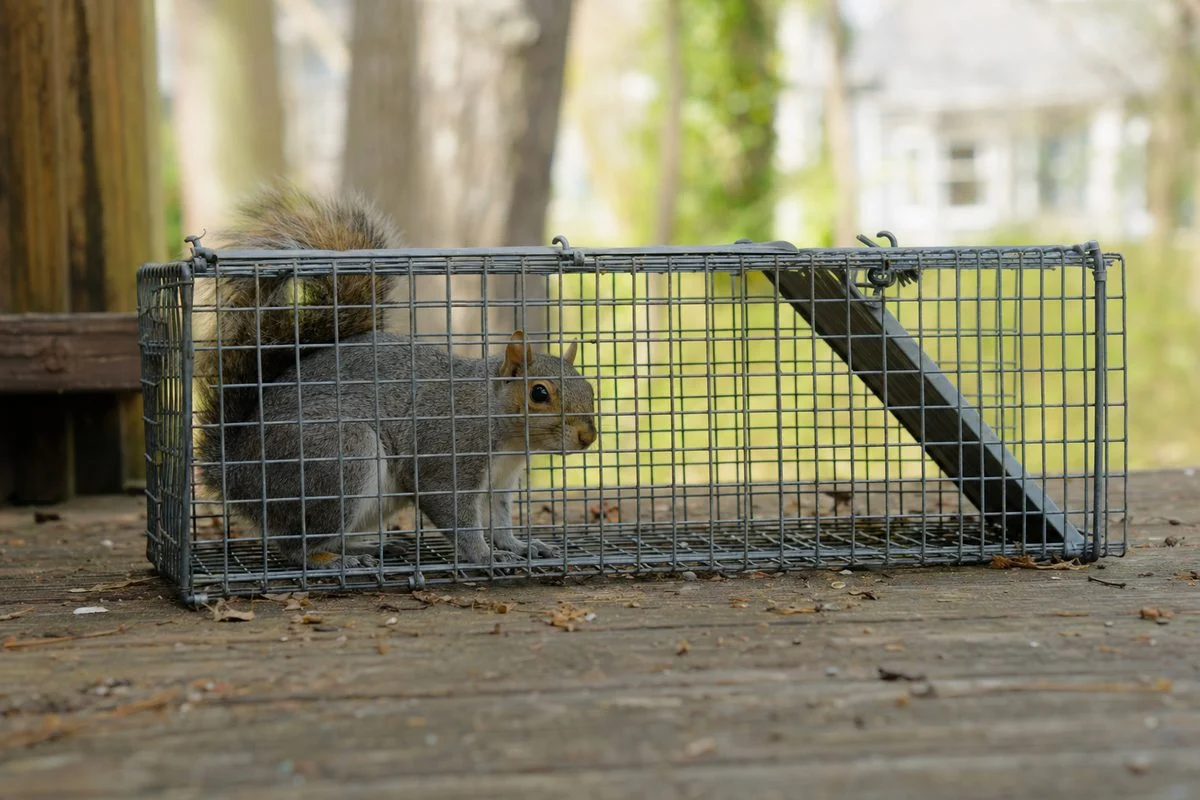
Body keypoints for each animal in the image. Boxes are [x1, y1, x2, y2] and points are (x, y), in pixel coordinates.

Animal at [193, 185, 598, 570]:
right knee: (295, 545)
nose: (588, 437)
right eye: (539, 393)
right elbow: (456, 515)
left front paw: (518, 546)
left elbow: (499, 520)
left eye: (590, 387)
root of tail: (237, 473)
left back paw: (368, 545)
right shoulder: (446, 458)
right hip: (338, 458)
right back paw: (335, 559)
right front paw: (485, 555)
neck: (506, 434)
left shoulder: (500, 482)